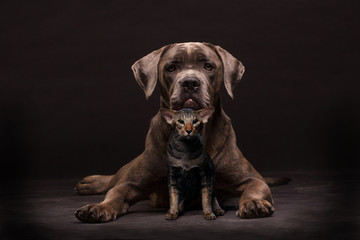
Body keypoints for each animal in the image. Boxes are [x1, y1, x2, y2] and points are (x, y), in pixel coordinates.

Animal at [74, 41, 278, 223]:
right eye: (171, 68)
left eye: (208, 66)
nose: (190, 82)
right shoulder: (132, 183)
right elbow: (116, 192)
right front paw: (98, 207)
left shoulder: (252, 179)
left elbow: (254, 188)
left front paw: (254, 203)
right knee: (114, 180)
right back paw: (90, 183)